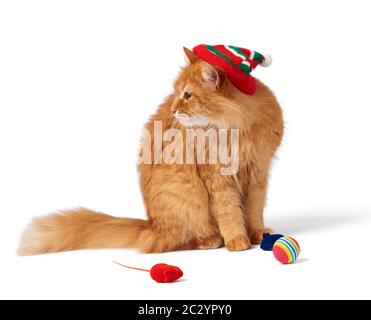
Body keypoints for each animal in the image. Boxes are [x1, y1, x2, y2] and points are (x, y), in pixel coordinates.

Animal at [17, 47, 284, 255]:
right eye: (176, 92)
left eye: (188, 95)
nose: (174, 109)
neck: (239, 127)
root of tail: (151, 225)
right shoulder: (217, 176)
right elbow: (229, 211)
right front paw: (237, 239)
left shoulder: (258, 172)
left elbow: (254, 210)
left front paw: (257, 234)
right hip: (187, 195)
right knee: (179, 240)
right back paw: (210, 240)